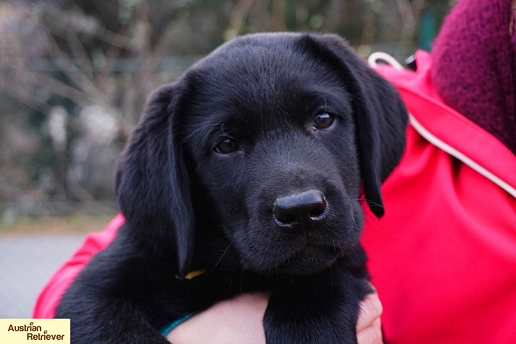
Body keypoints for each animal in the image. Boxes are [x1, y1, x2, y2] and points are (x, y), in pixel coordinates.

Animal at [56, 31, 410, 342]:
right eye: (226, 145)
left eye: (323, 119)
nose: (301, 210)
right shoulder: (95, 292)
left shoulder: (349, 262)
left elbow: (320, 287)